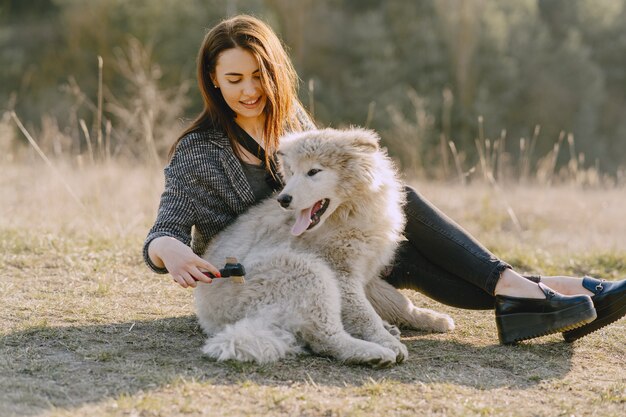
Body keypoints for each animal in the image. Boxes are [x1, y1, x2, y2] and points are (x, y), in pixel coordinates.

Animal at [193, 128, 450, 366]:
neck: (347, 214)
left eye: (313, 172)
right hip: (305, 271)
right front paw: (386, 340)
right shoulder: (341, 272)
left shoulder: (365, 270)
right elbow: (365, 314)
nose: (283, 199)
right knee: (326, 337)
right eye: (292, 172)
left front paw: (431, 318)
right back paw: (375, 352)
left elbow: (395, 300)